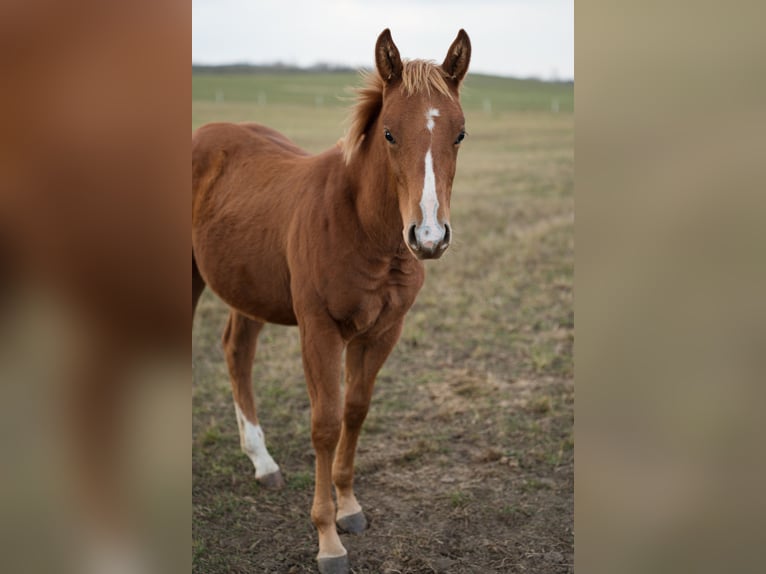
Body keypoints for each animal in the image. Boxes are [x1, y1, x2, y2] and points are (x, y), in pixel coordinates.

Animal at [192, 29, 471, 574]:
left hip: (247, 289)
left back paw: (262, 463)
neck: (363, 229)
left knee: (237, 352)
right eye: (389, 133)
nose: (428, 237)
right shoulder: (318, 330)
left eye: (460, 134)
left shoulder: (382, 331)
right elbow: (324, 424)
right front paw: (327, 540)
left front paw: (350, 508)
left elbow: (355, 411)